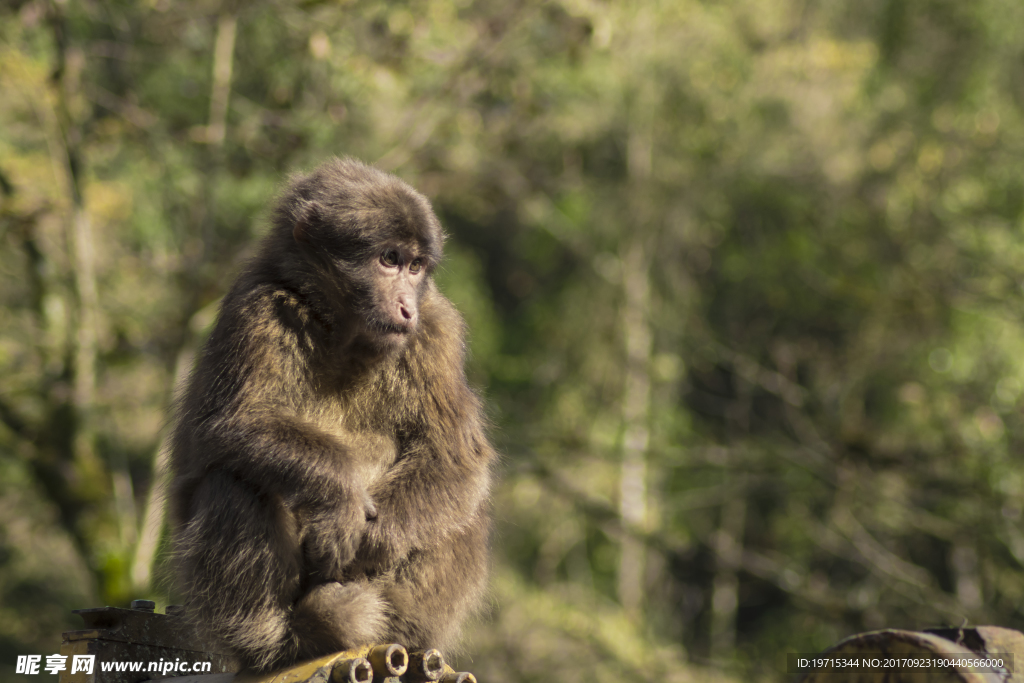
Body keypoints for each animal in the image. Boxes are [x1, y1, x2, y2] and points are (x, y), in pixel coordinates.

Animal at [167, 156, 495, 671]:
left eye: (416, 266)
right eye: (388, 260)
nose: (406, 306)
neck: (344, 333)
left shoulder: (435, 330)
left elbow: (454, 457)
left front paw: (378, 537)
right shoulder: (256, 308)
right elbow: (229, 424)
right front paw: (340, 499)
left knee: (460, 506)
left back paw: (395, 623)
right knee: (232, 480)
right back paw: (282, 641)